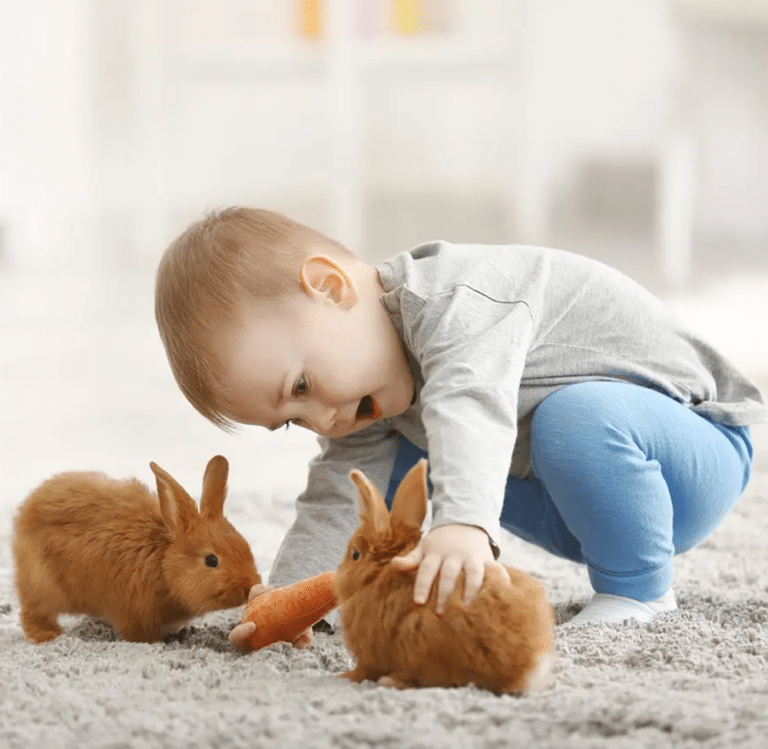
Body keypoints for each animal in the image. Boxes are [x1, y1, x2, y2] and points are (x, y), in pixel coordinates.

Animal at [12, 456, 260, 644]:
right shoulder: (132, 613)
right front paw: (156, 642)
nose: (249, 586)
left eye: (246, 547)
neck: (163, 561)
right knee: (32, 613)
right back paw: (48, 635)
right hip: (43, 586)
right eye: (211, 560)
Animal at [332, 458, 556, 692]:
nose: (337, 576)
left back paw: (391, 680)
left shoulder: (368, 656)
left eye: (355, 554)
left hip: (419, 637)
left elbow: (363, 670)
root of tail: (528, 667)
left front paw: (343, 677)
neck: (375, 575)